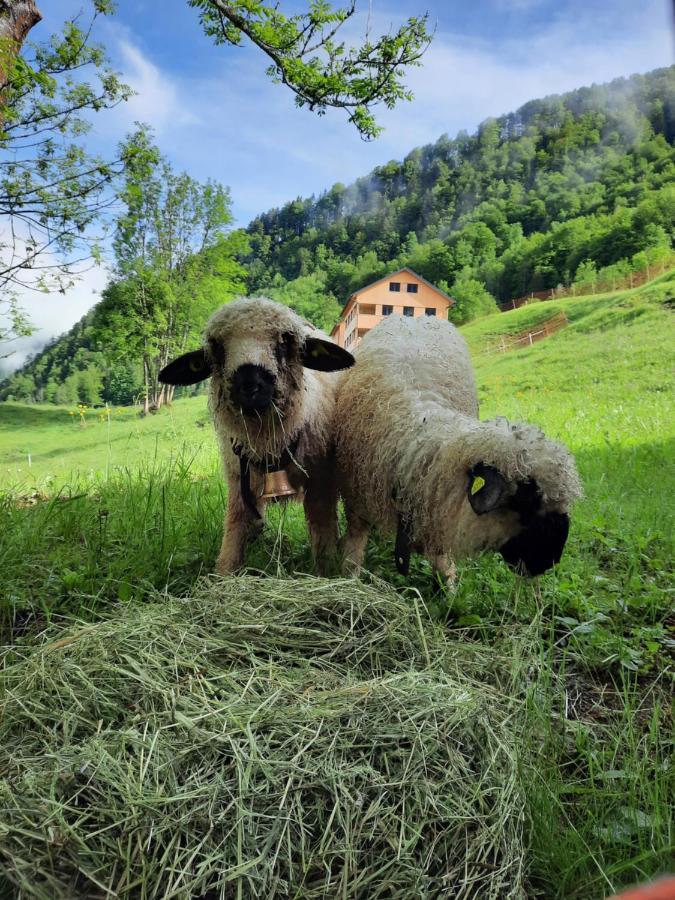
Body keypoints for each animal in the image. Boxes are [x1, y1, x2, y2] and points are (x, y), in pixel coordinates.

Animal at [161, 298, 356, 572]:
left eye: (285, 341)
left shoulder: (321, 481)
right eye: (217, 348)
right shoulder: (237, 479)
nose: (249, 386)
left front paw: (327, 570)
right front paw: (224, 573)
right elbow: (234, 526)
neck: (267, 443)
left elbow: (322, 528)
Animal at [336, 314, 584, 584]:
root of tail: (413, 316)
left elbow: (441, 559)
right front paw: (349, 577)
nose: (548, 563)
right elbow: (354, 549)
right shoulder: (355, 501)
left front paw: (448, 585)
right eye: (526, 502)